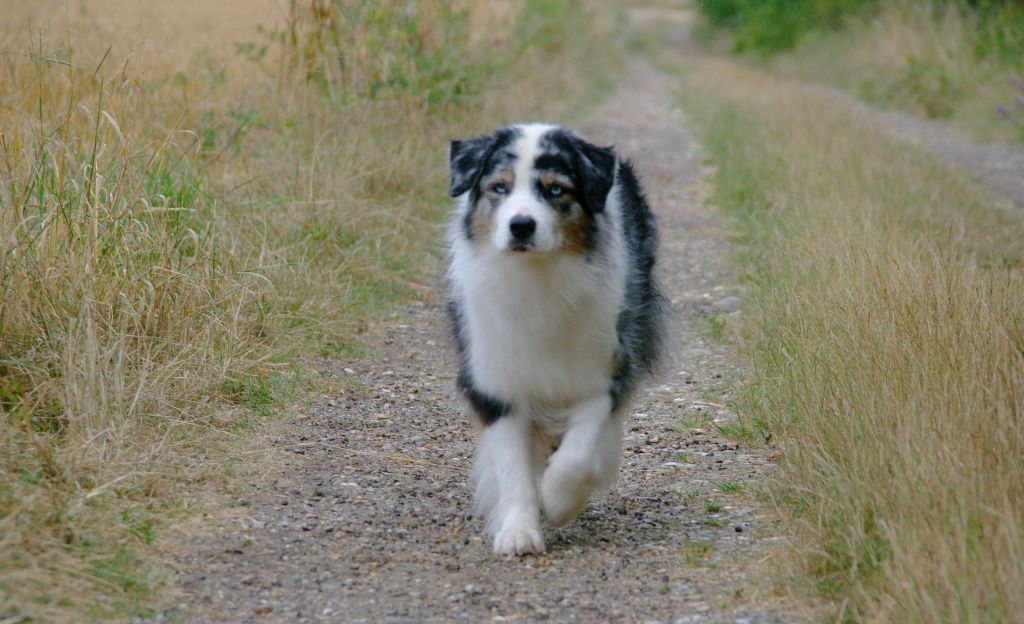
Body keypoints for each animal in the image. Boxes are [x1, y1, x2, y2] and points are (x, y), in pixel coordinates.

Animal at [446, 122, 667, 553]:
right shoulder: (495, 381)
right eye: (500, 187)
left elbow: (577, 455)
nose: (521, 226)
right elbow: (513, 466)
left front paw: (557, 501)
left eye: (555, 189)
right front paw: (519, 531)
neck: (538, 276)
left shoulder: (605, 371)